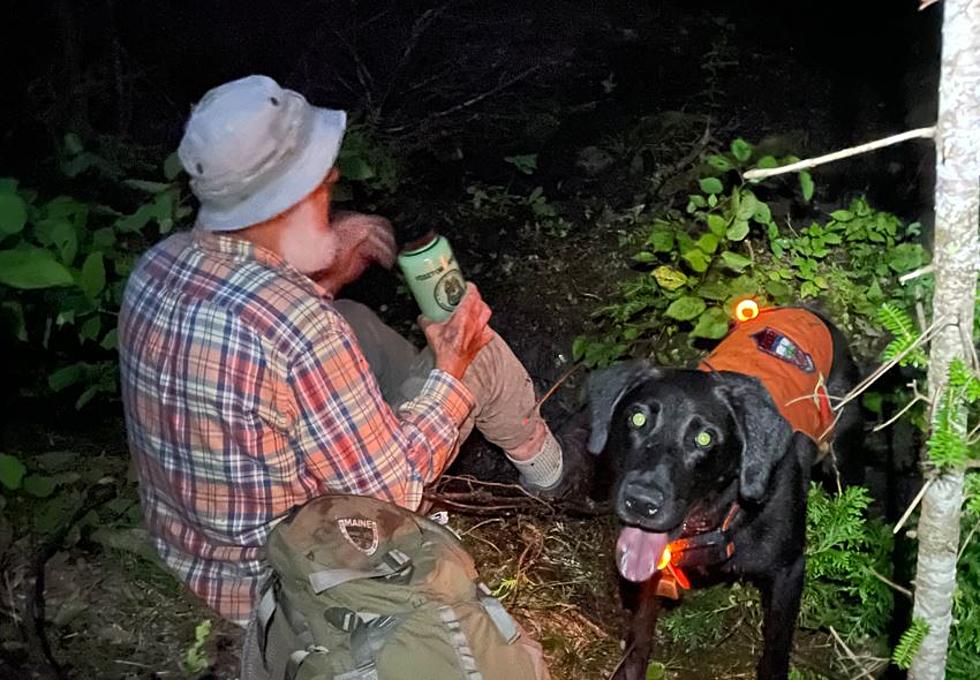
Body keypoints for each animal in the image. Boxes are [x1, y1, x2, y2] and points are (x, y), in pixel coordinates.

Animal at [584, 310, 860, 680]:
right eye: (637, 418)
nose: (641, 502)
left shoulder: (789, 572)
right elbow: (639, 635)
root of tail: (813, 314)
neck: (721, 515)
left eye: (704, 438)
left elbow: (775, 653)